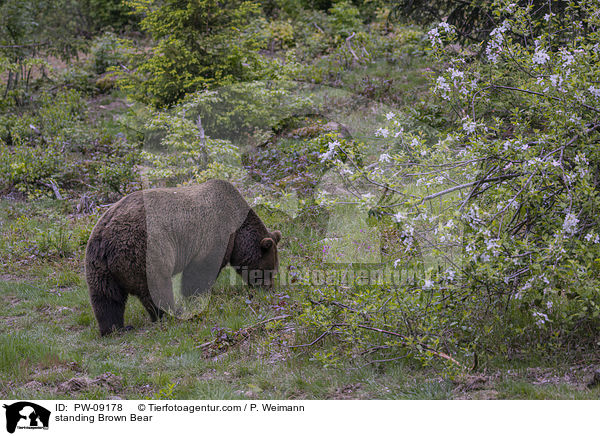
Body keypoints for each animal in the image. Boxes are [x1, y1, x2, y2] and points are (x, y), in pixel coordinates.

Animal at [84, 179, 282, 336]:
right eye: (268, 270)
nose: (268, 289)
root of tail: (106, 236)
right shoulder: (213, 234)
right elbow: (200, 272)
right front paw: (197, 297)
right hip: (143, 251)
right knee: (156, 288)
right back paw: (171, 313)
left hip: (98, 265)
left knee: (106, 297)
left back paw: (115, 328)